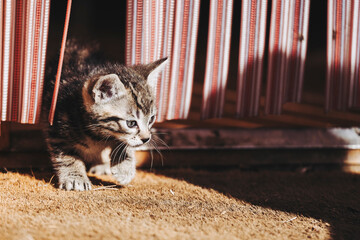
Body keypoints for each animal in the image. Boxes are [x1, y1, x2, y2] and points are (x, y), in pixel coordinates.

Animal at [43, 41, 166, 191]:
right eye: (131, 123)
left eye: (151, 119)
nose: (146, 139)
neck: (97, 134)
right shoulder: (57, 129)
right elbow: (67, 155)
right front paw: (75, 178)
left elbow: (124, 142)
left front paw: (124, 167)